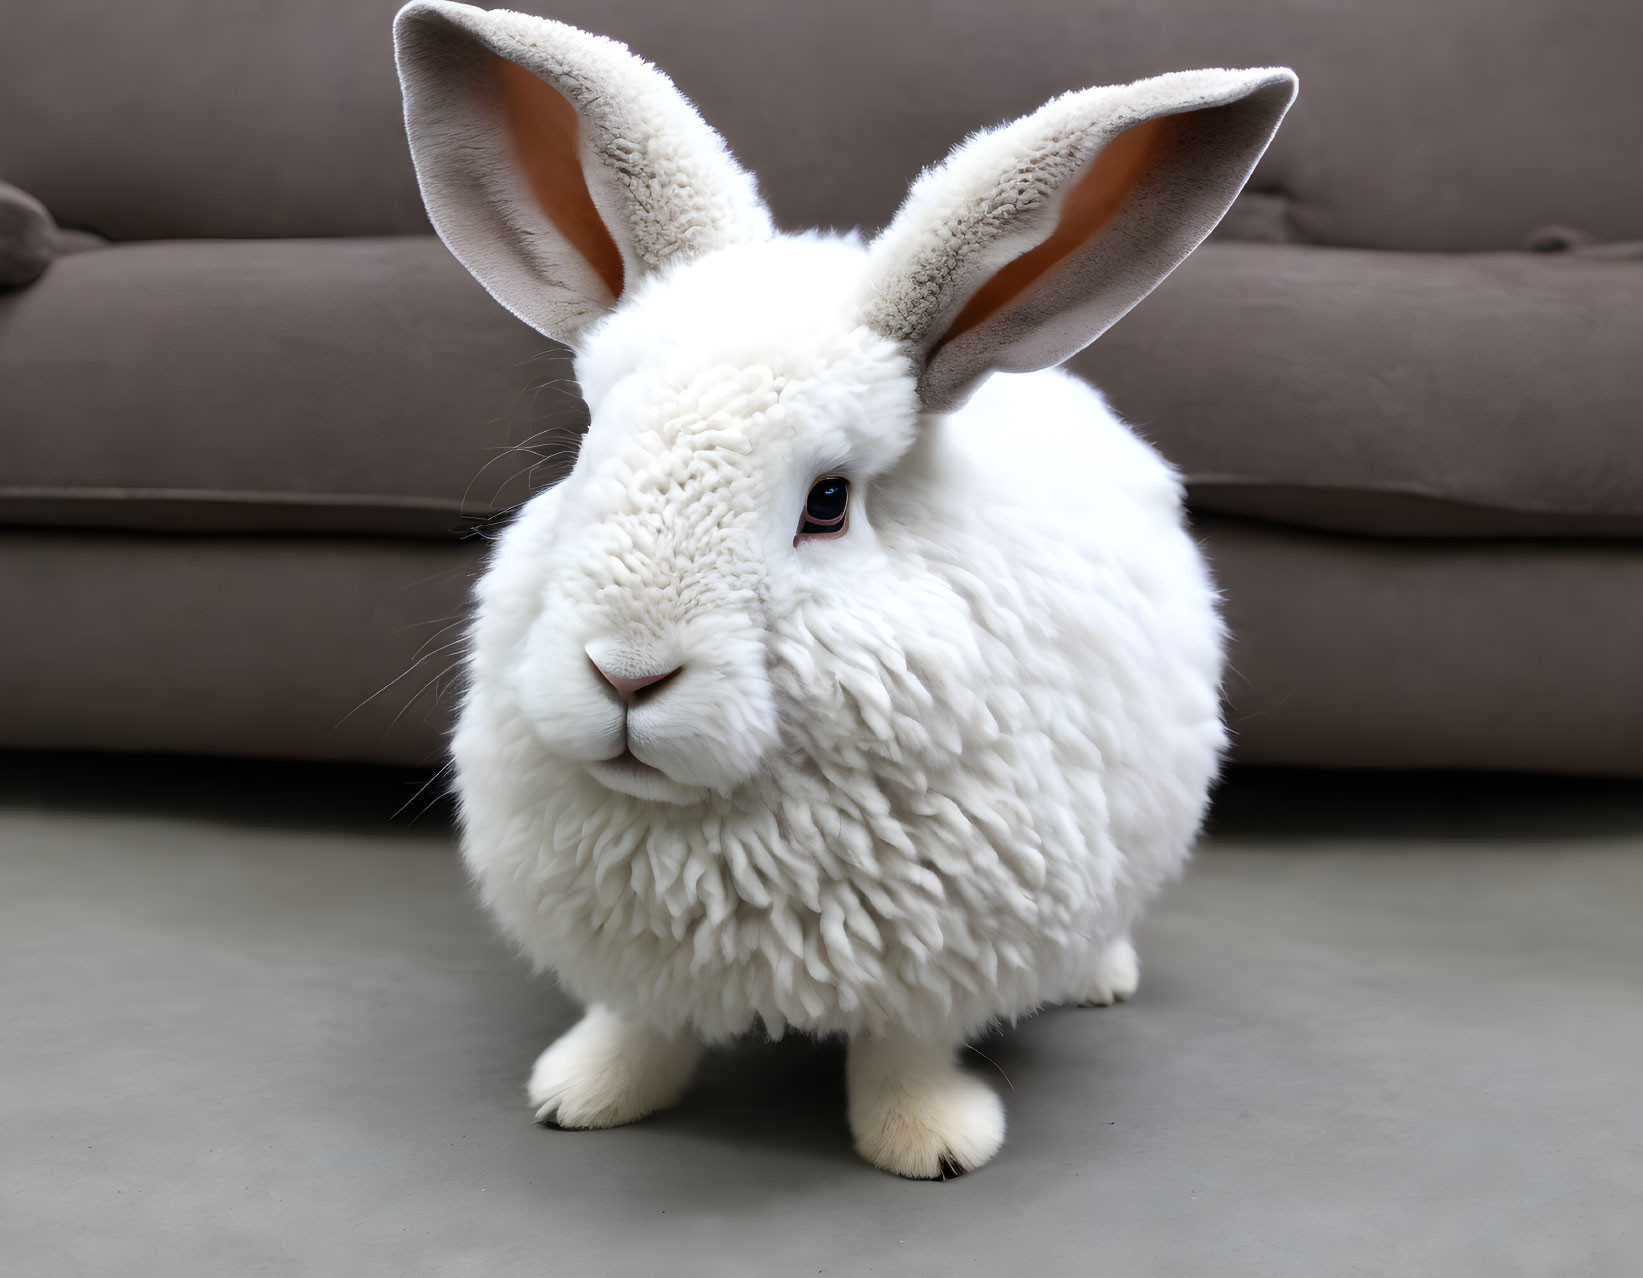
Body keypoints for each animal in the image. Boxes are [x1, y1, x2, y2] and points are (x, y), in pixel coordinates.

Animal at [397, 0, 1294, 1176]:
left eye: (827, 502)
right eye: (588, 449)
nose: (627, 675)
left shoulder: (932, 961)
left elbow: (902, 1053)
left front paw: (932, 1146)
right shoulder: (638, 972)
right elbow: (640, 1027)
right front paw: (582, 1096)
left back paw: (1099, 980)